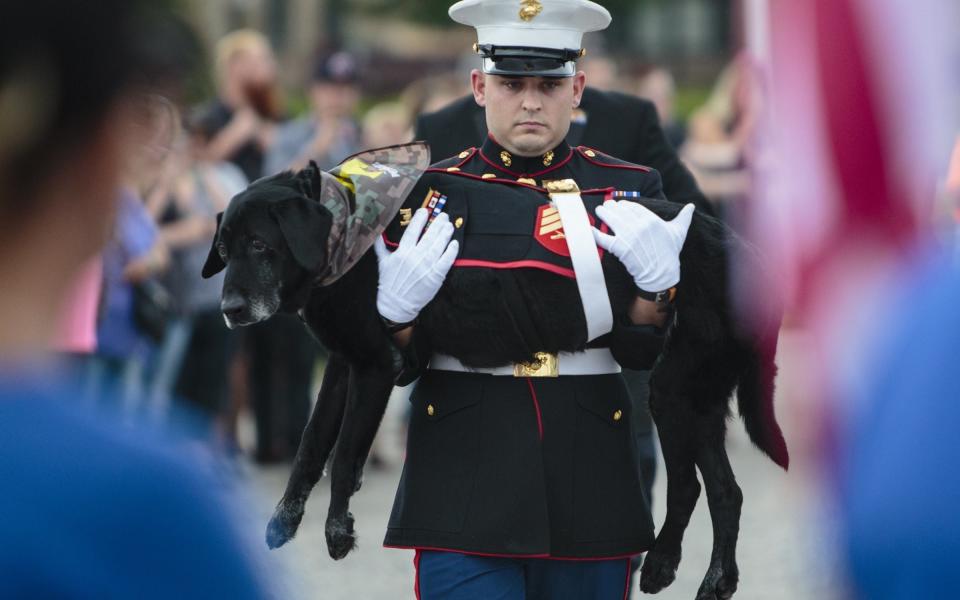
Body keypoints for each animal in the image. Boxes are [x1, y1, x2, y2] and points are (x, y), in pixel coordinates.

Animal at [202, 157, 788, 596]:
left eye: (261, 245)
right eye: (227, 249)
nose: (229, 311)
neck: (348, 225)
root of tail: (749, 254)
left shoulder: (374, 364)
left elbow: (345, 455)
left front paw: (338, 529)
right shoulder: (345, 365)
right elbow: (310, 445)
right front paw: (284, 519)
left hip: (673, 391)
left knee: (691, 484)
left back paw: (672, 562)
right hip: (693, 399)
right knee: (723, 491)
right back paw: (705, 575)